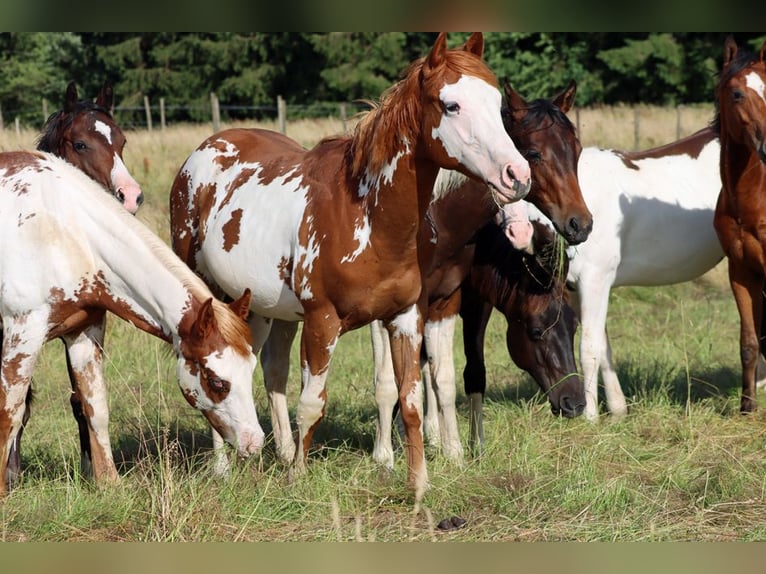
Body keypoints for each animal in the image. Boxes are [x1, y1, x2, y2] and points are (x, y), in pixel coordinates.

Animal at [0, 151, 263, 496]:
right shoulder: (23, 334)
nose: (254, 442)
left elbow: (95, 407)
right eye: (217, 381)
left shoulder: (84, 333)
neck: (64, 230)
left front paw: (109, 483)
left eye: (251, 370)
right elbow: (10, 413)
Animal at [168, 32, 532, 497]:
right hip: (210, 296)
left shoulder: (405, 317)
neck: (367, 216)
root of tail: (201, 152)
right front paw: (298, 479)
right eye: (451, 105)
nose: (516, 175)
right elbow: (312, 405)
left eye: (496, 102)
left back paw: (279, 452)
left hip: (263, 308)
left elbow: (409, 401)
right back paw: (222, 466)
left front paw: (418, 484)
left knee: (270, 370)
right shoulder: (322, 321)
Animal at [370, 81, 589, 468]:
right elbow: (392, 378)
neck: (441, 220)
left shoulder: (471, 302)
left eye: (576, 152)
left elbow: (470, 373)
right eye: (533, 153)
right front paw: (385, 456)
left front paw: (470, 447)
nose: (581, 223)